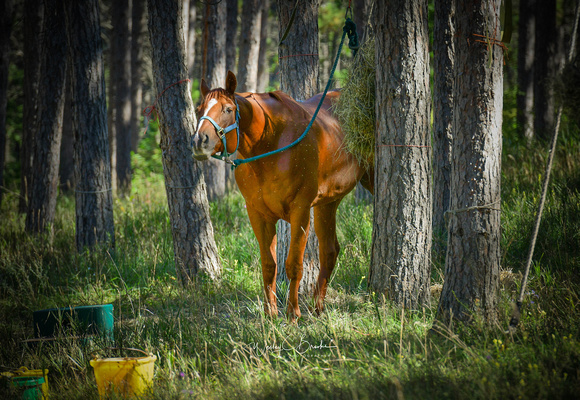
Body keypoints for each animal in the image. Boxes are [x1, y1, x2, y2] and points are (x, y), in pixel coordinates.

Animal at [193, 72, 374, 320]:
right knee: (329, 251)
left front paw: (292, 313)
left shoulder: (300, 212)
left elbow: (294, 264)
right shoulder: (258, 214)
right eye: (199, 108)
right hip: (328, 203)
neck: (272, 142)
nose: (200, 141)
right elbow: (269, 265)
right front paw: (271, 313)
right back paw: (317, 307)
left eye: (228, 109)